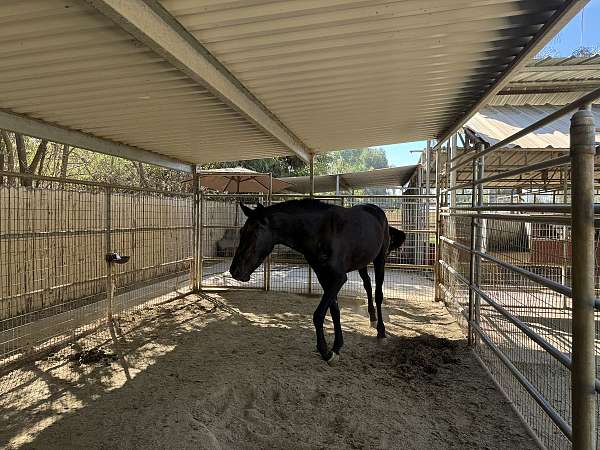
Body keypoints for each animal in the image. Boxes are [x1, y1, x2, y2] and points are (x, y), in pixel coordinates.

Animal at [230, 199, 408, 364]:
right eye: (241, 231)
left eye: (253, 234)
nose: (235, 271)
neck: (321, 231)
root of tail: (377, 210)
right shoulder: (323, 276)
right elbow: (334, 310)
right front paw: (336, 347)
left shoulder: (338, 278)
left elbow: (319, 314)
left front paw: (326, 352)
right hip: (362, 263)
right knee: (368, 285)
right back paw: (372, 318)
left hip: (379, 260)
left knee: (378, 294)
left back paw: (381, 331)